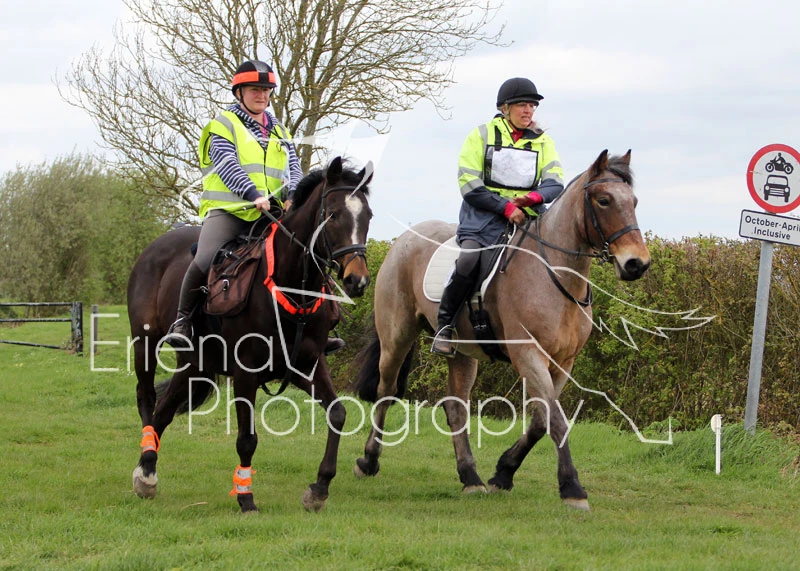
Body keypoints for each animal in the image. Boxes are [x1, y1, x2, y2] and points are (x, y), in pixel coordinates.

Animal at [127, 156, 373, 513]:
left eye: (368, 216)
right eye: (333, 214)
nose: (358, 280)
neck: (288, 286)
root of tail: (153, 248)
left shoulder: (306, 365)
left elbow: (338, 414)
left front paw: (319, 487)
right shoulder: (246, 373)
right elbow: (247, 439)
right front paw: (246, 499)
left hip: (196, 366)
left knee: (164, 411)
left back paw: (147, 471)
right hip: (145, 344)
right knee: (147, 398)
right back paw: (145, 471)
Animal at [353, 150, 650, 511]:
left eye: (633, 201)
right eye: (604, 200)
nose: (637, 264)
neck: (556, 276)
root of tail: (404, 239)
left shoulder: (563, 363)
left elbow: (540, 420)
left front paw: (503, 473)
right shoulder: (528, 355)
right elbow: (555, 419)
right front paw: (572, 488)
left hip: (463, 353)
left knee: (456, 407)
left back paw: (471, 477)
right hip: (396, 337)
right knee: (386, 391)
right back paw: (369, 460)